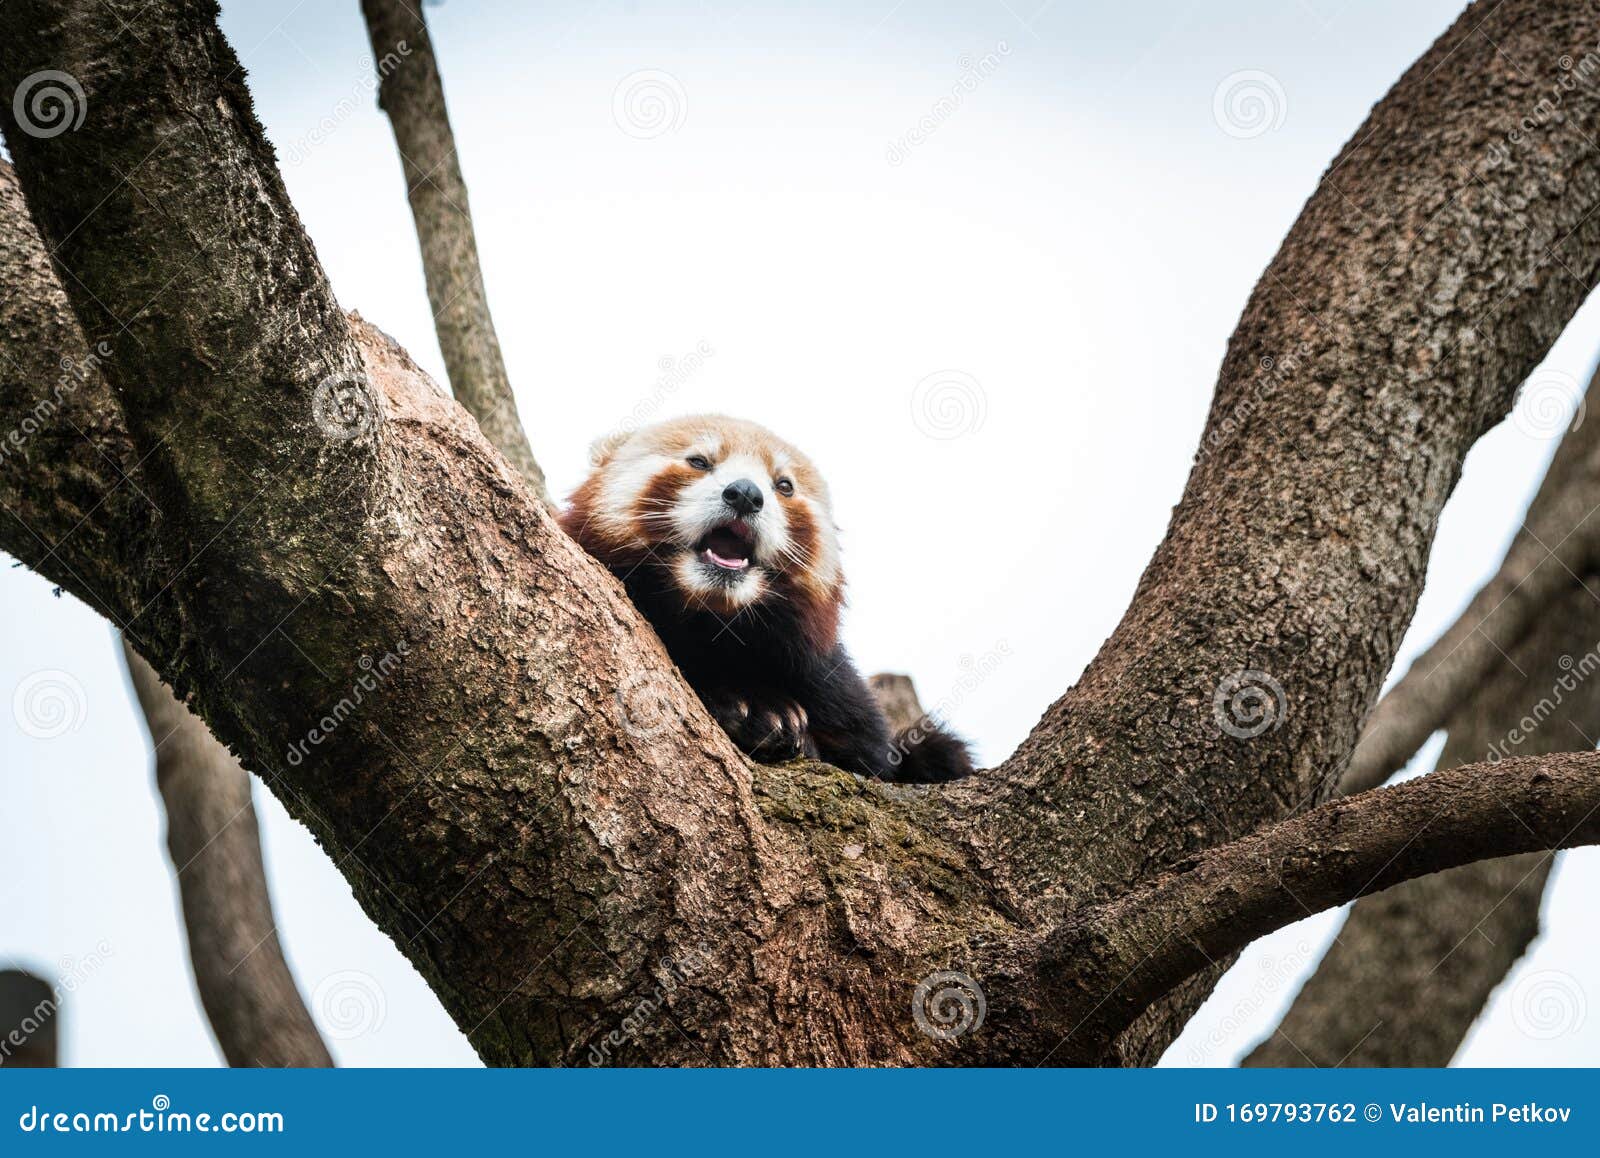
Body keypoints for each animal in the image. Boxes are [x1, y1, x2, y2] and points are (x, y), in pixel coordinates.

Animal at [563, 412, 972, 783]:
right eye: (699, 462)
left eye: (784, 485)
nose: (745, 493)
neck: (714, 621)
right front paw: (756, 710)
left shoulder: (830, 683)